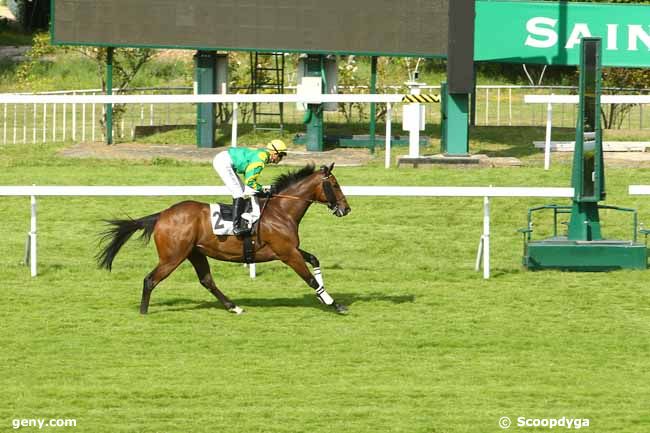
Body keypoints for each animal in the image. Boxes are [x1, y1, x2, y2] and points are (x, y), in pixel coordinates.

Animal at [96, 162, 350, 314]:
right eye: (335, 185)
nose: (346, 209)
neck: (281, 210)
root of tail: (162, 215)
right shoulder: (287, 253)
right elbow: (310, 279)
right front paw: (333, 303)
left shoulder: (290, 249)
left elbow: (314, 260)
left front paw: (325, 299)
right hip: (173, 256)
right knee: (150, 280)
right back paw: (143, 312)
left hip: (194, 253)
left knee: (206, 280)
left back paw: (233, 306)